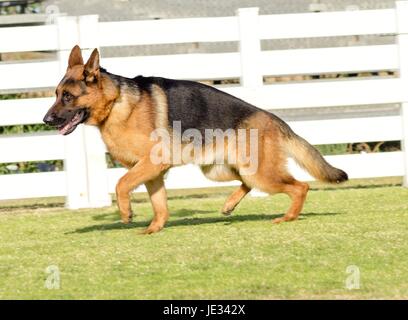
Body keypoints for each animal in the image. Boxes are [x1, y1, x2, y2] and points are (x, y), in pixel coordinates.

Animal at [43, 45, 348, 232]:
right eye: (56, 94)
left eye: (67, 96)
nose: (45, 120)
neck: (117, 102)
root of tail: (273, 118)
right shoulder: (153, 173)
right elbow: (160, 205)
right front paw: (153, 229)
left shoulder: (150, 166)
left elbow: (120, 185)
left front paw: (126, 213)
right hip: (220, 170)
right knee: (247, 184)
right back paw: (229, 205)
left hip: (260, 174)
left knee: (299, 187)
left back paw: (288, 216)